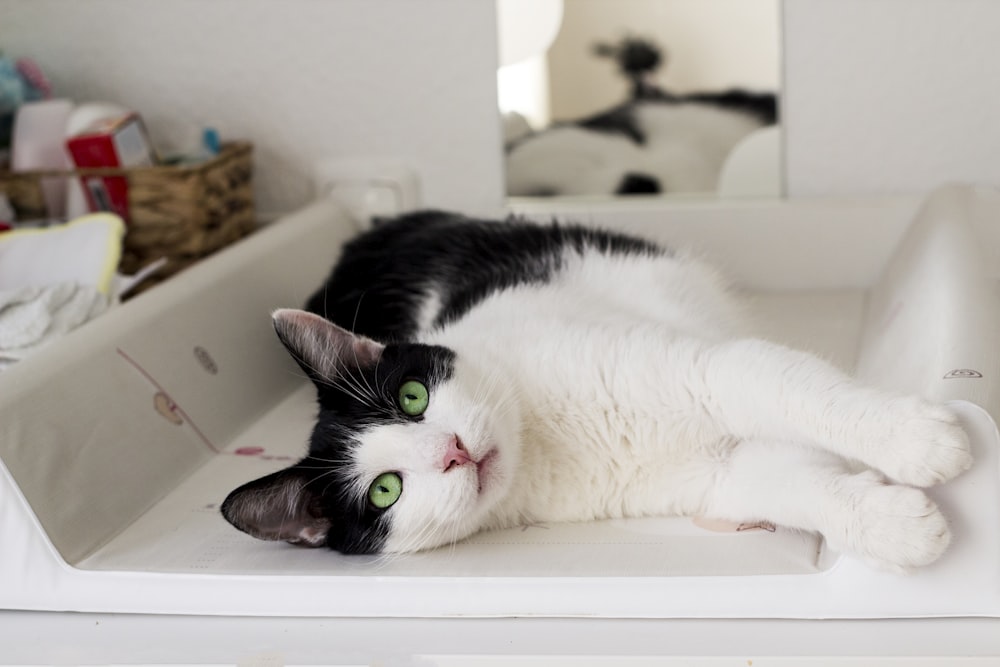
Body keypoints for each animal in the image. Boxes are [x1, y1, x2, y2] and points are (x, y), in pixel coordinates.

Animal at [223, 211, 972, 572]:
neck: (545, 436)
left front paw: (918, 438)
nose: (454, 450)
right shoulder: (716, 472)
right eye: (385, 490)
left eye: (412, 397)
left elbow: (807, 396)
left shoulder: (711, 370)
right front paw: (896, 525)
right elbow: (792, 483)